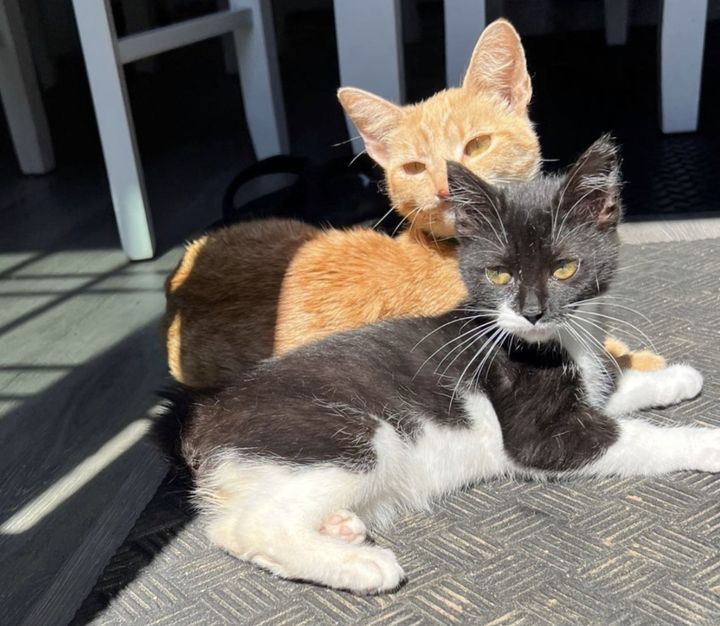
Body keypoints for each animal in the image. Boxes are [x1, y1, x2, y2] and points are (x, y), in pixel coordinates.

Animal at [179, 134, 708, 592]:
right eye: (498, 275)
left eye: (565, 268)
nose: (531, 311)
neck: (556, 340)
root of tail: (208, 418)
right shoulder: (538, 436)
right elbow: (636, 437)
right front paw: (707, 441)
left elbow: (611, 386)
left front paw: (677, 378)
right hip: (337, 433)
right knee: (249, 524)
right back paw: (359, 564)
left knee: (235, 521)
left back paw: (342, 526)